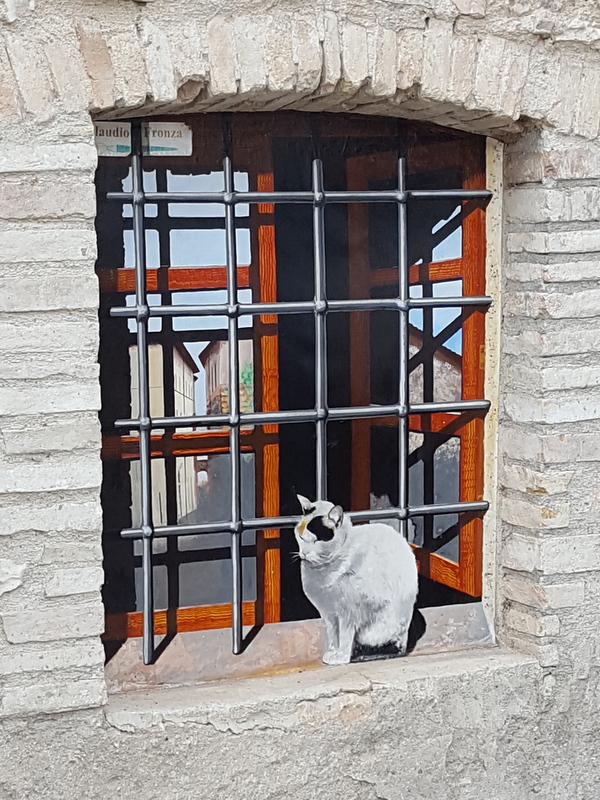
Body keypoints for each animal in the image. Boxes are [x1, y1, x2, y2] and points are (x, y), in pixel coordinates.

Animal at [294, 495, 420, 666]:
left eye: (316, 541)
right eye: (301, 537)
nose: (304, 553)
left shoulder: (349, 613)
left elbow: (345, 636)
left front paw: (341, 657)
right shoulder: (328, 613)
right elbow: (332, 635)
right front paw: (332, 652)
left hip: (382, 627)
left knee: (393, 648)